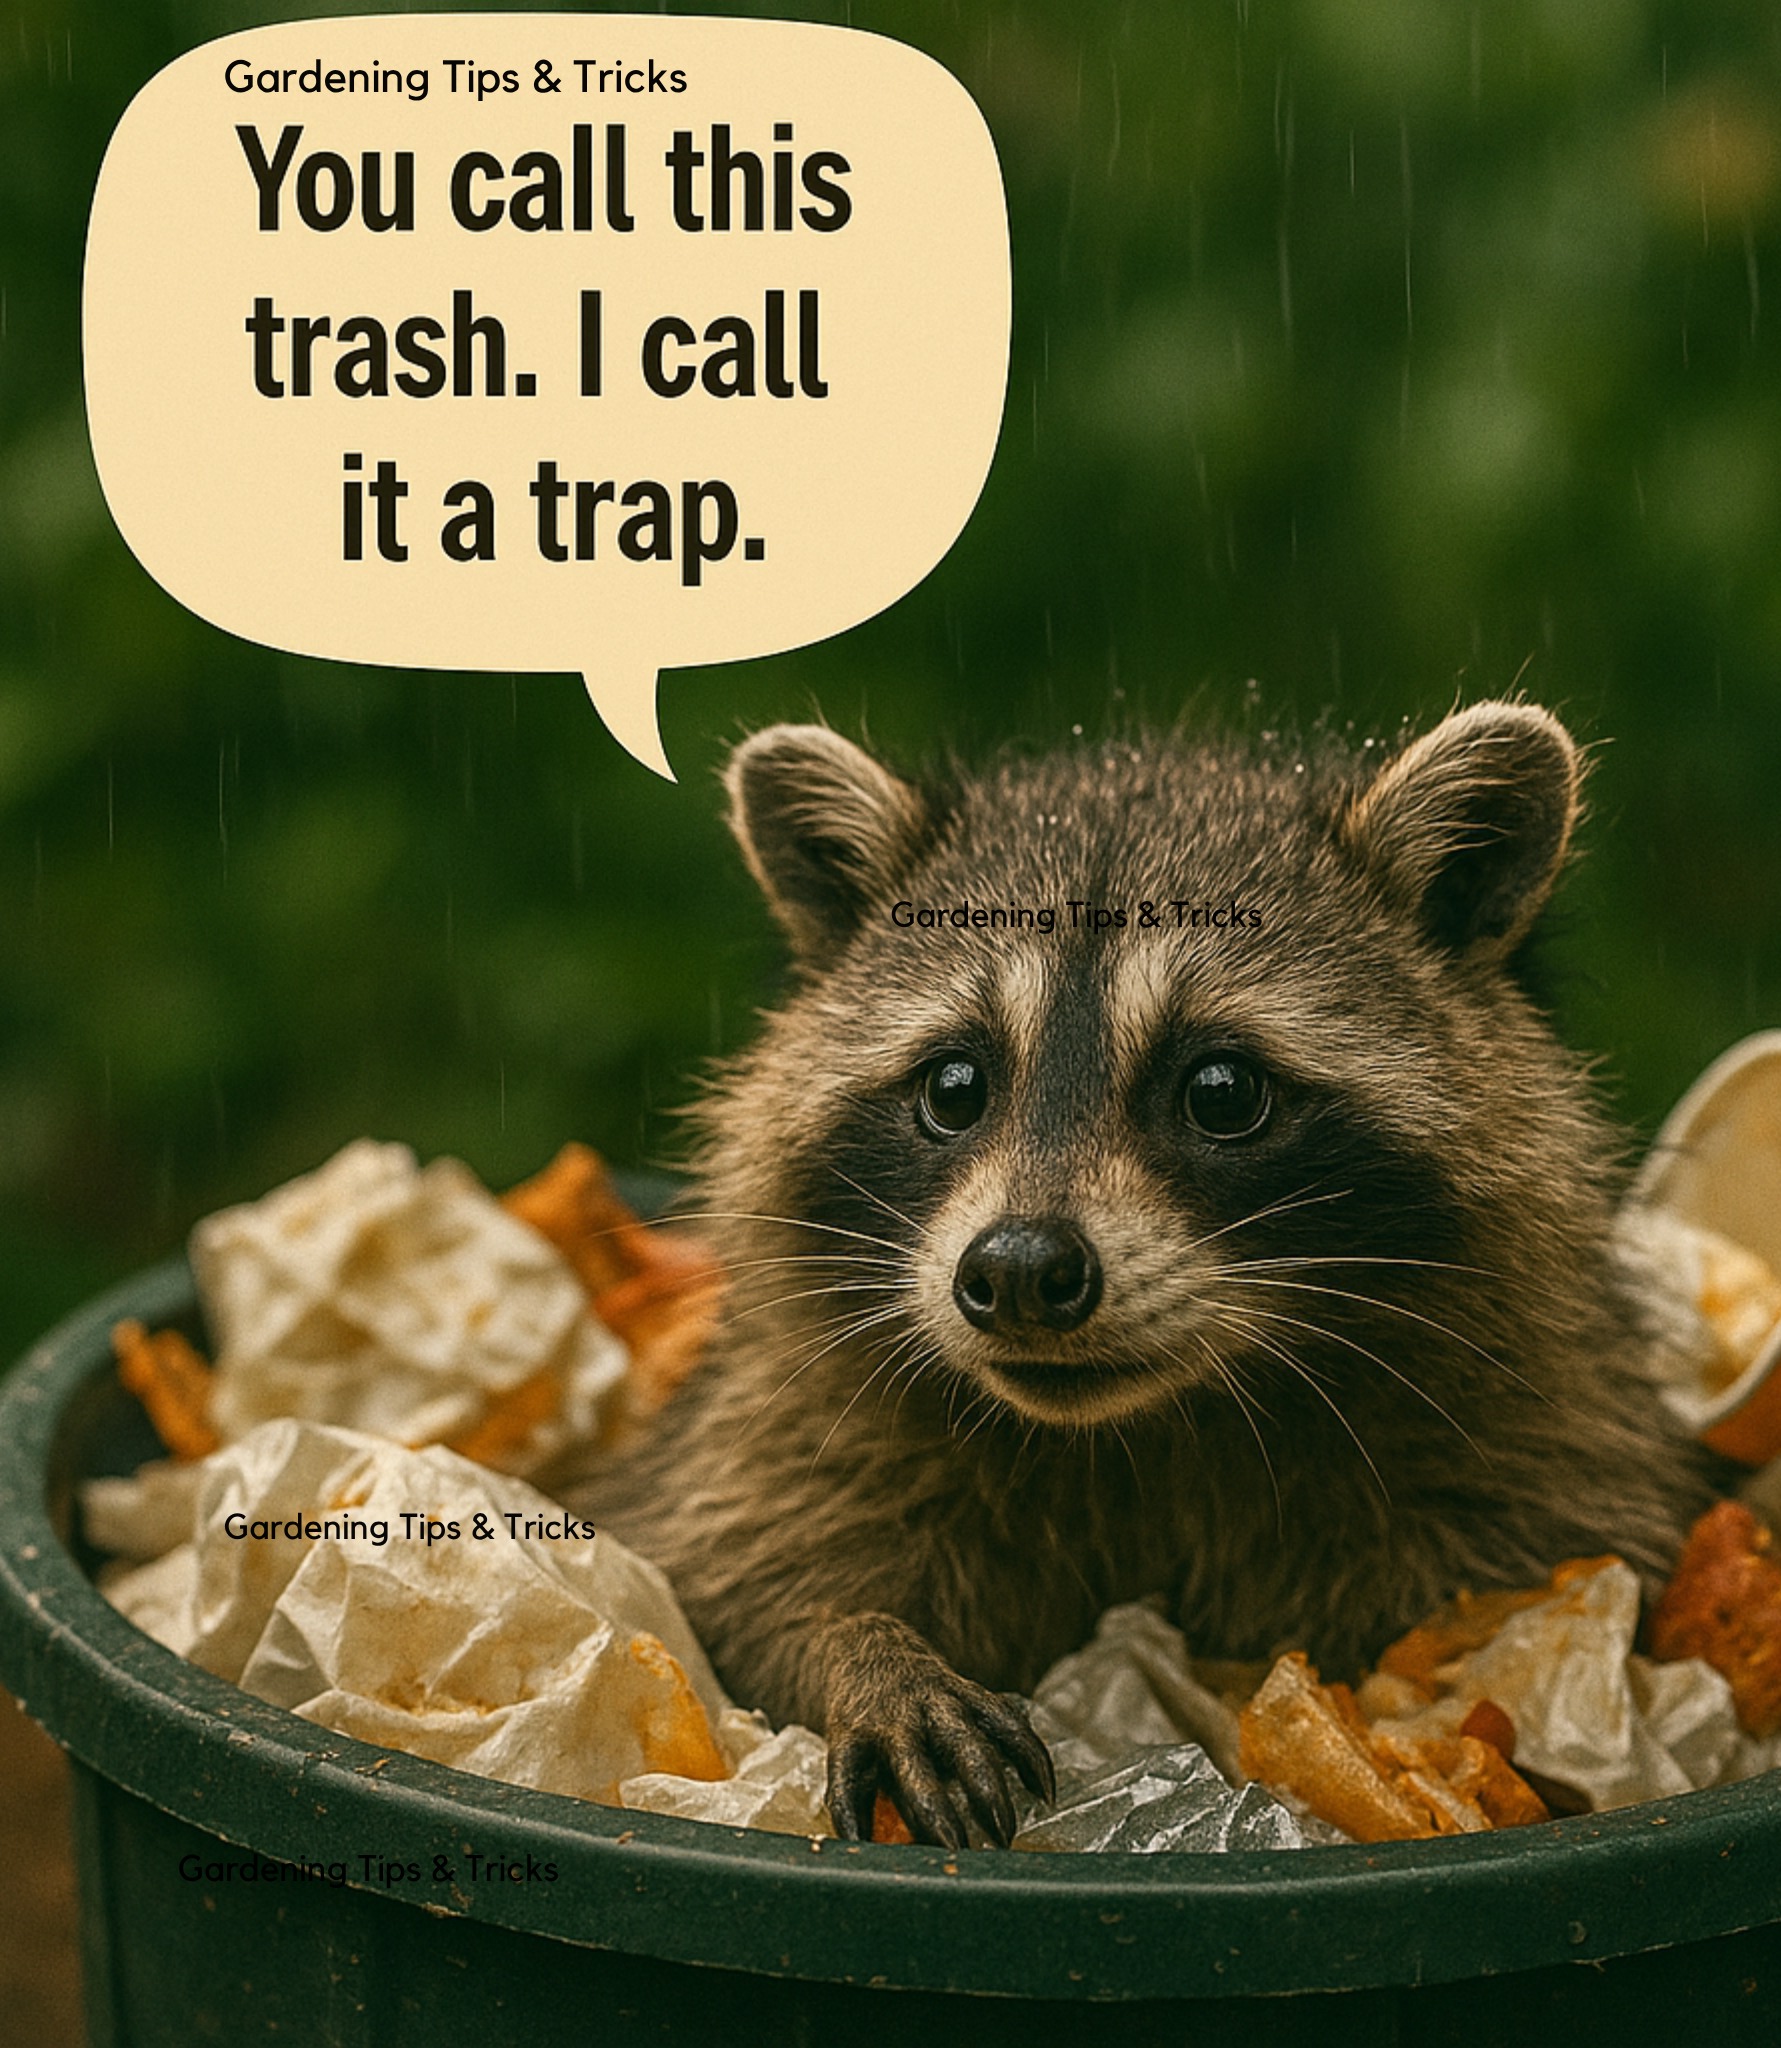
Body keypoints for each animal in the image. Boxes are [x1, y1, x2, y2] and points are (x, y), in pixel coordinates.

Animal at [574, 702, 1725, 1848]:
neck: (1136, 1431)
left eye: (1220, 1090)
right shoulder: (783, 1424)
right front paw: (864, 1650)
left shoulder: (1539, 1443)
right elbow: (719, 1581)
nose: (1019, 1270)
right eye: (954, 1086)